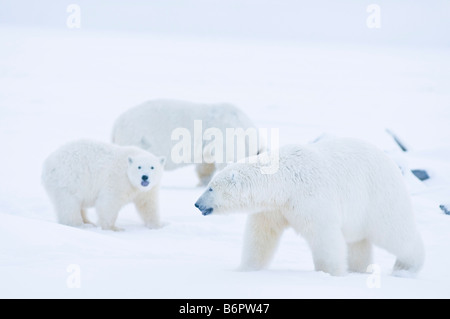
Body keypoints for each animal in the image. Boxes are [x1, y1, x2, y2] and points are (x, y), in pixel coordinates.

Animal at [111, 99, 264, 186]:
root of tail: (117, 124)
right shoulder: (227, 135)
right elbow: (227, 160)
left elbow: (206, 164)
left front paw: (202, 183)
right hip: (137, 138)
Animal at [194, 139, 426, 276]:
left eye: (211, 188)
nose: (197, 204)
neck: (284, 178)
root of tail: (393, 164)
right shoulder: (274, 207)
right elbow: (261, 236)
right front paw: (245, 269)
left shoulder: (310, 197)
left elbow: (324, 236)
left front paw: (329, 273)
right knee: (358, 242)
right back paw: (359, 269)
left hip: (379, 197)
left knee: (395, 231)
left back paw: (405, 267)